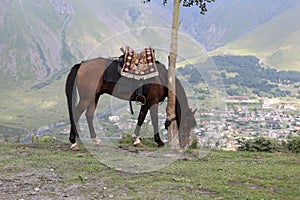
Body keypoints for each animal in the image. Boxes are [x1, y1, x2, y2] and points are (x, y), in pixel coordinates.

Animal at [65, 54, 197, 149]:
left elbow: (140, 119)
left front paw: (136, 140)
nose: (185, 144)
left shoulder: (146, 103)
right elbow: (154, 121)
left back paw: (95, 140)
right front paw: (159, 142)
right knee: (76, 114)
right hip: (86, 98)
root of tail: (81, 65)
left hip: (94, 96)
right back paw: (73, 142)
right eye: (186, 124)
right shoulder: (153, 102)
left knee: (89, 115)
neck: (161, 78)